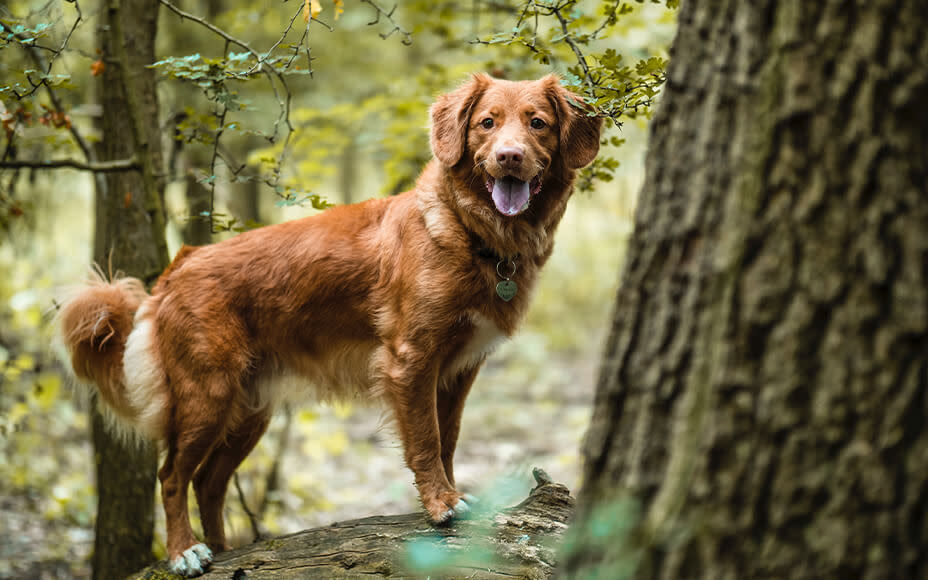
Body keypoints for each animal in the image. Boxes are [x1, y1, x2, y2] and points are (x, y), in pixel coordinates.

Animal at [61, 73, 604, 576]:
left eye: (538, 124)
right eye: (487, 123)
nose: (509, 157)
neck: (470, 231)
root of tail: (180, 265)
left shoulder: (458, 371)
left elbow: (447, 440)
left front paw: (448, 495)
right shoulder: (410, 361)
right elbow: (426, 441)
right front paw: (441, 505)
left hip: (249, 411)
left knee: (207, 482)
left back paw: (224, 549)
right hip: (207, 395)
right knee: (173, 476)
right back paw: (184, 552)